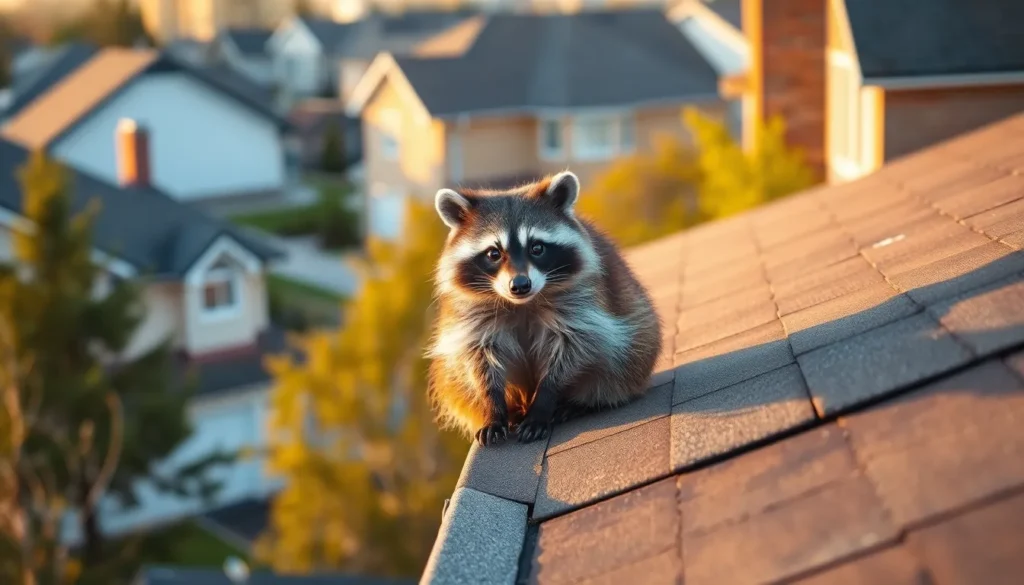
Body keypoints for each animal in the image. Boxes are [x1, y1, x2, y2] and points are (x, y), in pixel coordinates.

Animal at [426, 171, 662, 446]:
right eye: (494, 253)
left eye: (536, 247)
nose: (520, 285)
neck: (522, 304)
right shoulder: (472, 318)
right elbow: (480, 360)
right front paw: (493, 407)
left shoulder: (581, 304)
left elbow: (574, 348)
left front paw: (544, 402)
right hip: (451, 381)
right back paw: (514, 409)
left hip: (636, 346)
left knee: (620, 361)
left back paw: (579, 402)